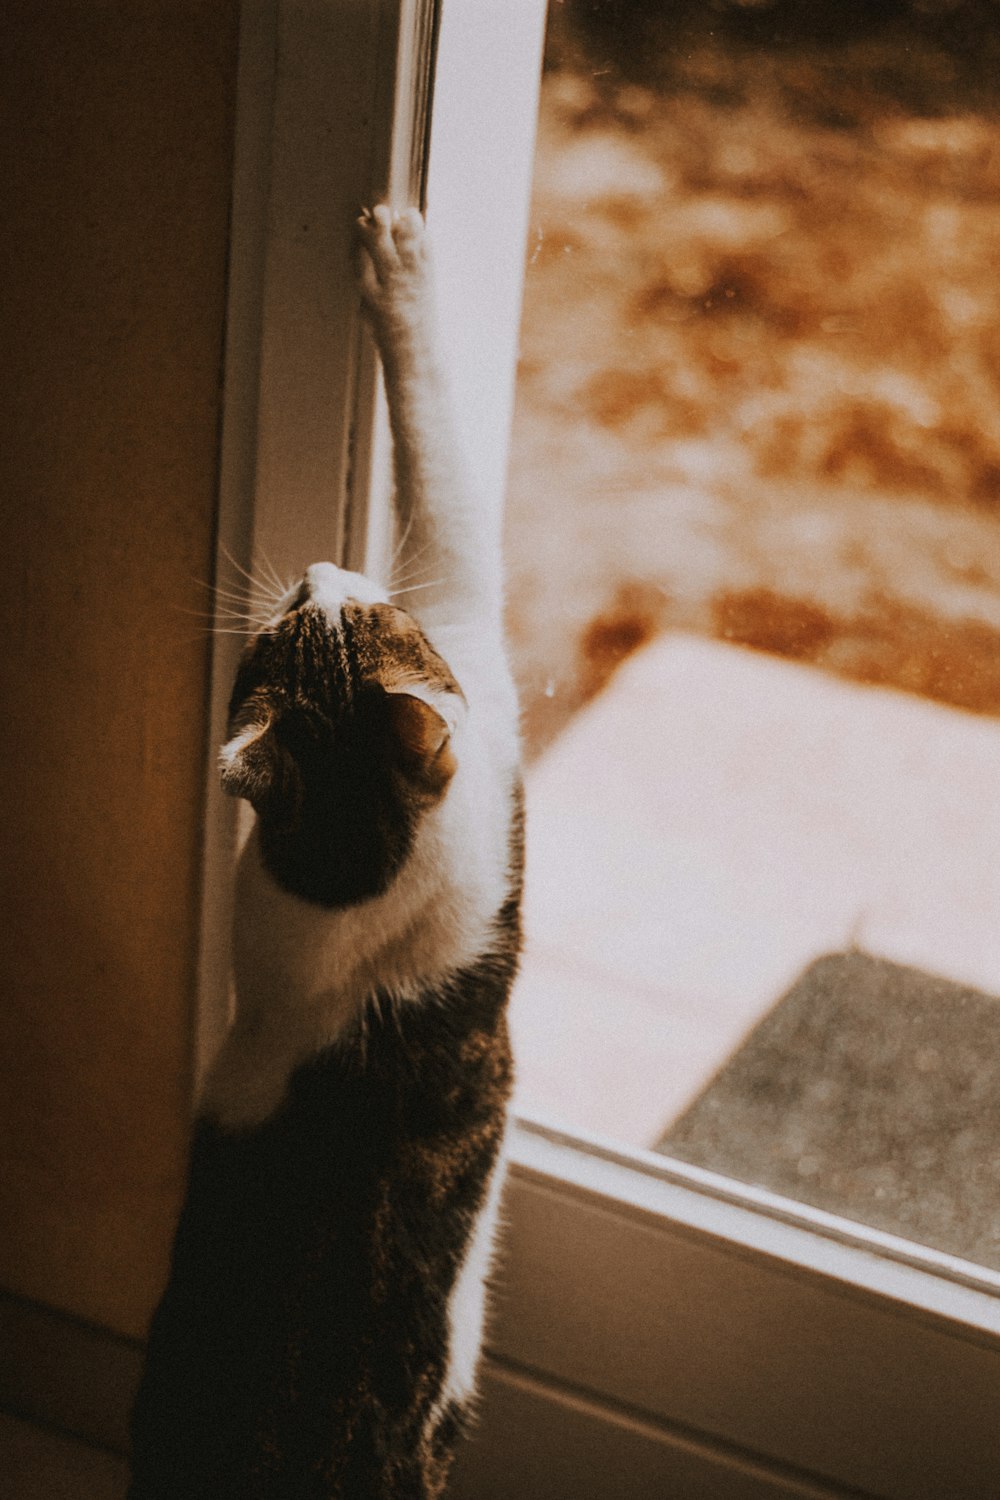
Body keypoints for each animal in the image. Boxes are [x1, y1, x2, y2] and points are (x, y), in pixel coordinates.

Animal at [127, 202, 524, 1500]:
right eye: (358, 618)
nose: (314, 568)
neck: (355, 873)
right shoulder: (476, 660)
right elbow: (445, 485)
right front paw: (397, 259)